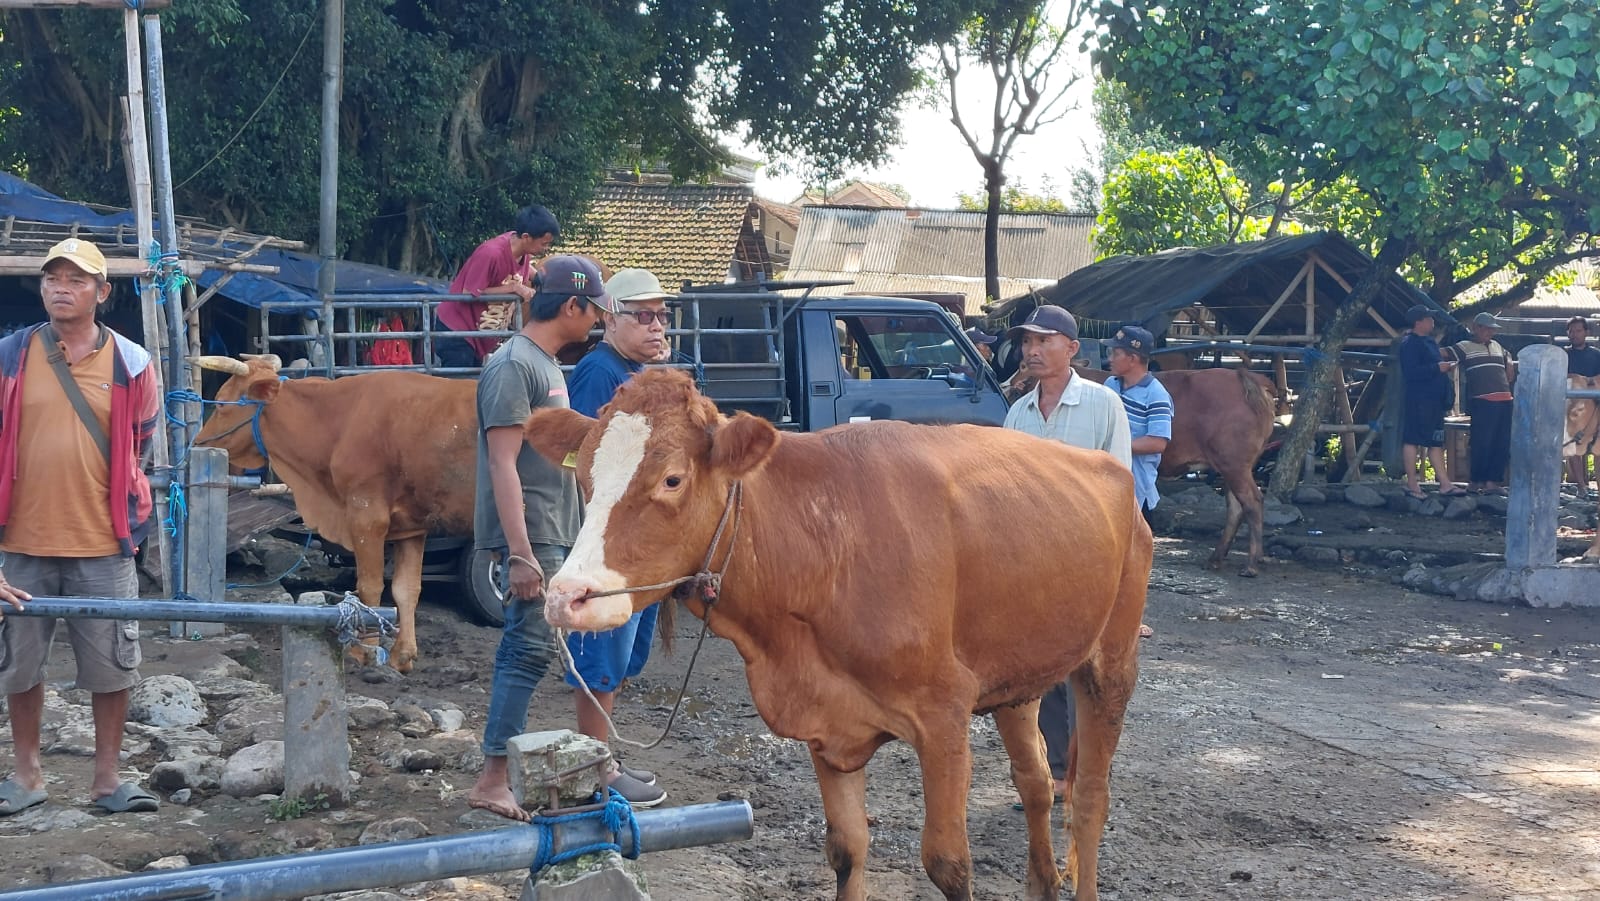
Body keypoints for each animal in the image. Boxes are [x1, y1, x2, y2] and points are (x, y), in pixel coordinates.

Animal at [192, 356, 473, 672]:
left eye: (221, 403)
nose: (198, 443)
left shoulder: (366, 515)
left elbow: (370, 586)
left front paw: (366, 651)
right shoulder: (412, 526)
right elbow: (407, 588)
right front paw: (403, 655)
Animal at [524, 368, 1152, 901]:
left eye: (672, 478)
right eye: (583, 478)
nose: (566, 595)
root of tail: (1106, 464)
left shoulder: (945, 715)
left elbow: (949, 863)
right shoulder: (827, 723)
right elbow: (848, 850)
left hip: (1111, 661)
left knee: (1090, 797)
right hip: (1017, 676)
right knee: (1037, 782)